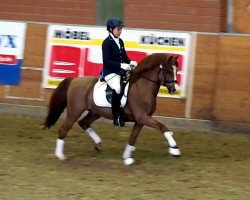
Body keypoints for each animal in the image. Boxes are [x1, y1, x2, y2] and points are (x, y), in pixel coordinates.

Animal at [45, 53, 181, 166]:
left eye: (177, 70)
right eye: (169, 70)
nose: (175, 89)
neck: (142, 87)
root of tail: (74, 80)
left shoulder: (140, 120)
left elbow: (133, 137)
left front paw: (127, 157)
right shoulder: (142, 117)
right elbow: (163, 127)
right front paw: (174, 149)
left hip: (95, 112)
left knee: (83, 123)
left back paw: (98, 144)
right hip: (74, 111)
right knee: (64, 128)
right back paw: (60, 155)